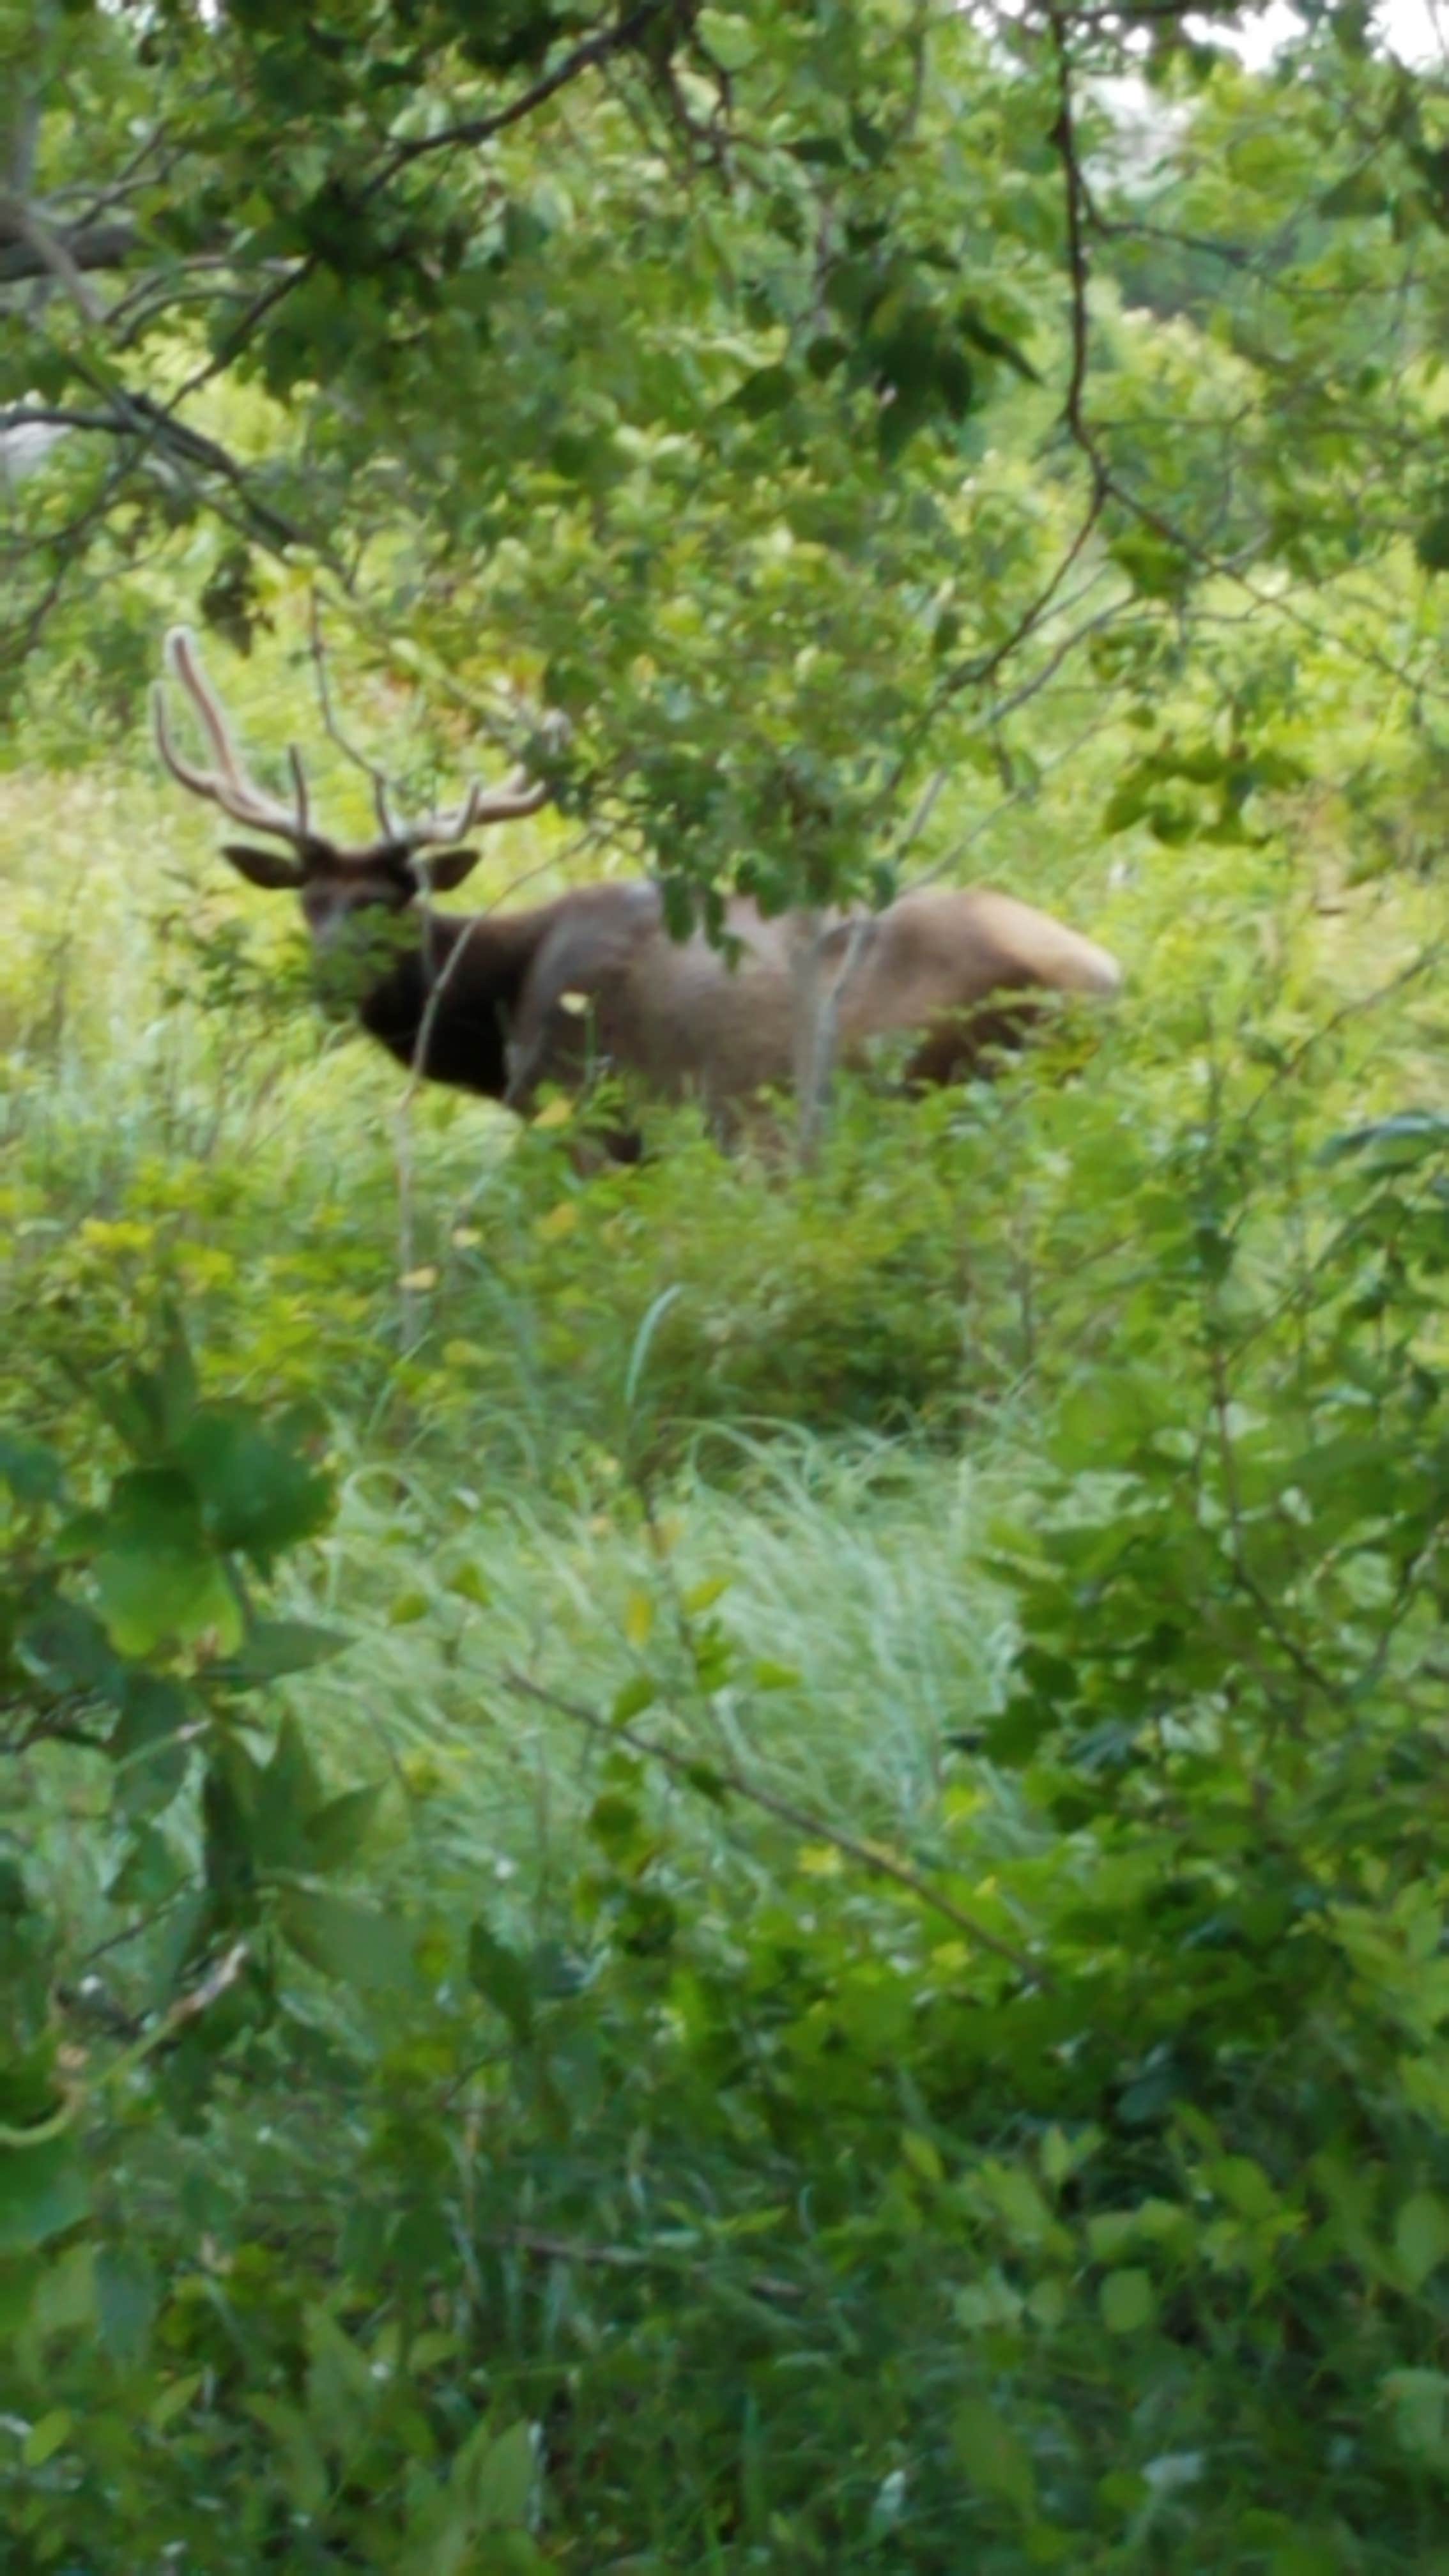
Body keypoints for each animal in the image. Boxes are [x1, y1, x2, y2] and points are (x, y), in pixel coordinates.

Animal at [155, 628, 1119, 1154]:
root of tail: (1109, 980)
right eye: (309, 902)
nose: (327, 979)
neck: (504, 1008)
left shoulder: (587, 1112)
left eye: (389, 904)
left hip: (957, 1079)